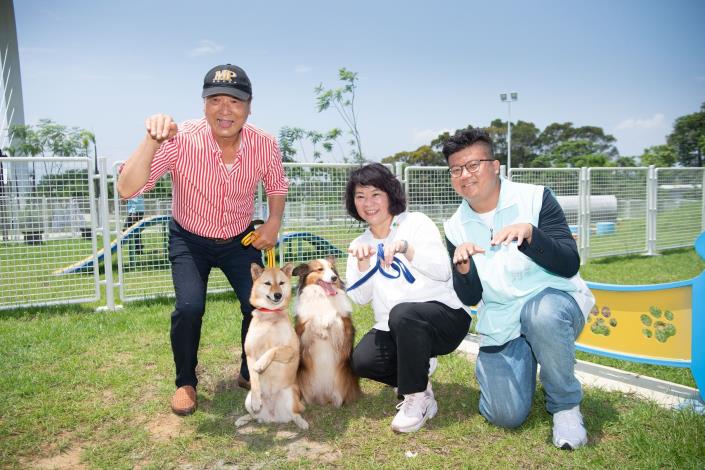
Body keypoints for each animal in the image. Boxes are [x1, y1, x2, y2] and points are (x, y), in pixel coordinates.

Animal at [235, 264, 306, 430]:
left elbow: (273, 349)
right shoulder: (250, 354)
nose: (278, 295)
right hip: (247, 401)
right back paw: (243, 419)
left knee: (295, 414)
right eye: (267, 283)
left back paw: (302, 422)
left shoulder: (291, 350)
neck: (270, 316)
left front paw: (262, 363)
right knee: (254, 416)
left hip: (290, 396)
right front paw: (256, 399)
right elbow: (254, 379)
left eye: (281, 283)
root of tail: (273, 418)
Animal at [292, 255, 360, 406]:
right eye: (320, 269)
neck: (323, 297)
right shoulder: (301, 330)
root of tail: (324, 398)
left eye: (332, 269)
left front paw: (327, 320)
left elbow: (335, 314)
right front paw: (321, 329)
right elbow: (312, 319)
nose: (334, 278)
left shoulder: (346, 329)